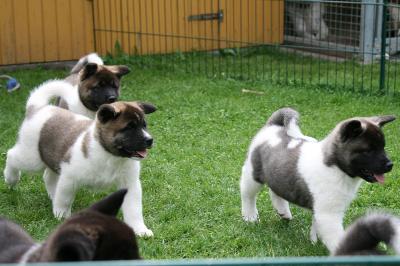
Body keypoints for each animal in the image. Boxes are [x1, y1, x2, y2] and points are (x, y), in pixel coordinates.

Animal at [3, 79, 156, 237]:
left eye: (144, 125)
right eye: (129, 127)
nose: (150, 140)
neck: (109, 155)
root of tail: (38, 108)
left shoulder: (130, 185)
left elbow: (134, 210)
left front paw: (140, 229)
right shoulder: (69, 178)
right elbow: (64, 200)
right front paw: (62, 216)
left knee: (48, 176)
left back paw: (52, 195)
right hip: (32, 158)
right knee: (11, 155)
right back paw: (11, 178)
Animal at [241, 107, 394, 254]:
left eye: (383, 147)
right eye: (368, 151)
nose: (390, 165)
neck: (336, 166)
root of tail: (272, 126)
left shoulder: (321, 209)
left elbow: (316, 225)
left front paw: (315, 241)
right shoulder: (329, 214)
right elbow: (336, 237)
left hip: (277, 173)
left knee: (275, 190)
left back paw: (283, 212)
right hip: (252, 174)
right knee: (247, 195)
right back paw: (250, 216)